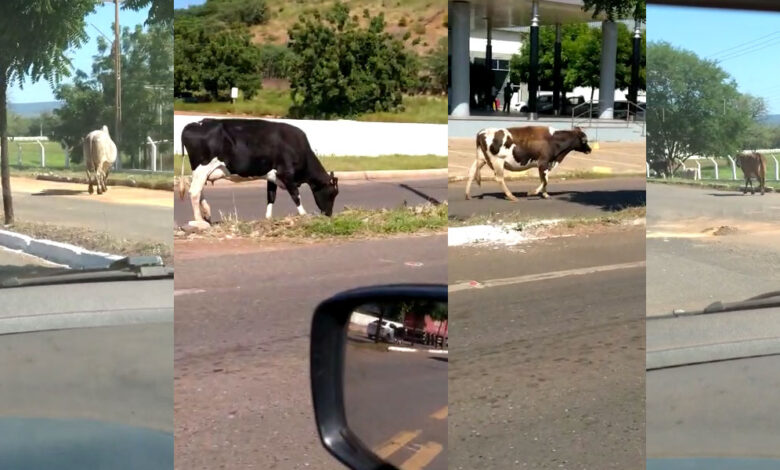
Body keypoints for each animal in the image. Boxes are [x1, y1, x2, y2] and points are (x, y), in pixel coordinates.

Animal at [183, 117, 342, 228]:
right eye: (332, 193)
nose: (329, 214)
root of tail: (194, 124)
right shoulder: (286, 175)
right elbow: (296, 196)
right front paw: (304, 215)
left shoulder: (272, 177)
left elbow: (271, 197)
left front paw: (268, 218)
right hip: (202, 168)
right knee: (194, 192)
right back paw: (199, 221)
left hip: (200, 172)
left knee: (199, 190)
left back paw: (206, 214)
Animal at [464, 125, 592, 200]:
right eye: (584, 140)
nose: (590, 149)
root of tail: (482, 132)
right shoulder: (543, 162)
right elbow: (544, 180)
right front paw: (532, 192)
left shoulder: (547, 163)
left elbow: (545, 179)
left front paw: (545, 194)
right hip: (497, 160)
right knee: (499, 178)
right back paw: (511, 196)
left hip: (481, 159)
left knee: (471, 173)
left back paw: (467, 195)